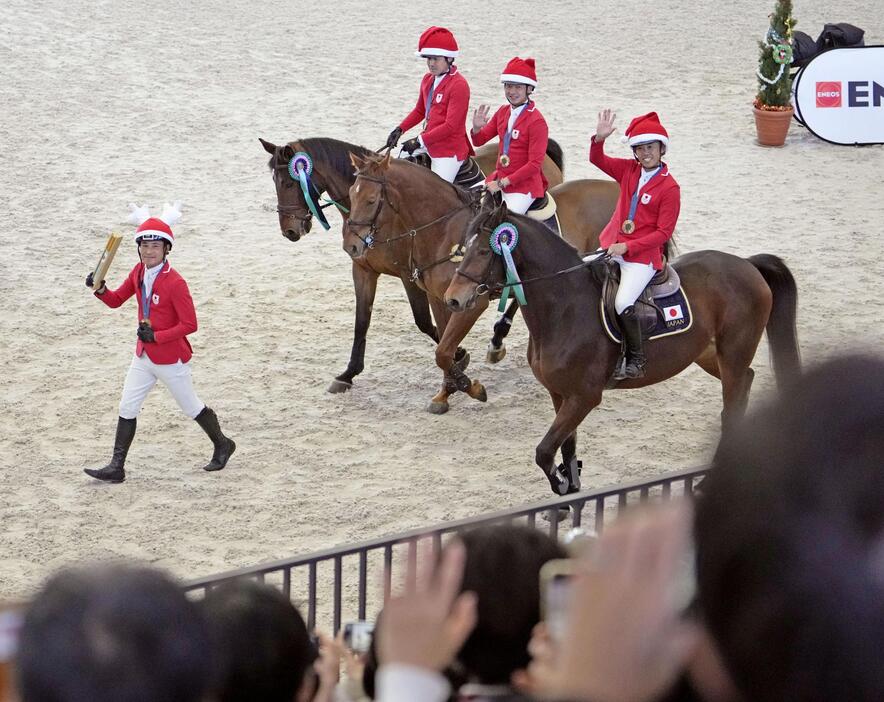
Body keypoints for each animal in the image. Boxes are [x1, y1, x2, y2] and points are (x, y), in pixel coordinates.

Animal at [258, 135, 568, 394]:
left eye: (289, 183)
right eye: (275, 183)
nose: (290, 231)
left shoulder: (409, 275)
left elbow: (424, 322)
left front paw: (459, 357)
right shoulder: (364, 270)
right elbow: (362, 321)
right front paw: (348, 373)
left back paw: (498, 336)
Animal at [342, 149, 620, 412]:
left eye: (371, 200)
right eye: (351, 195)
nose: (351, 246)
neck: (444, 231)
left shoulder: (471, 303)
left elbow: (443, 351)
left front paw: (470, 388)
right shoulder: (441, 298)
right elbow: (444, 346)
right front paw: (447, 391)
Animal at [448, 198, 800, 496]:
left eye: (483, 251)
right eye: (465, 246)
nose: (453, 299)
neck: (565, 307)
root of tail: (747, 264)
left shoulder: (584, 397)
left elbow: (544, 451)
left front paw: (560, 486)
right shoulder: (559, 393)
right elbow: (566, 446)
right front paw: (570, 491)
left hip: (733, 354)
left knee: (732, 406)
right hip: (710, 355)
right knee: (747, 380)